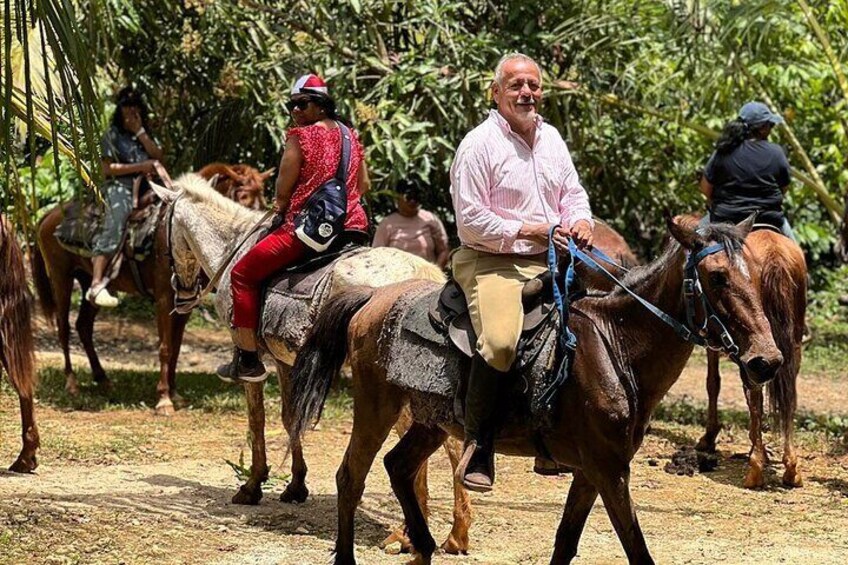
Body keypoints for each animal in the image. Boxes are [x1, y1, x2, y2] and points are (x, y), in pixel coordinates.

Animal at [31, 163, 270, 414]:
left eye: (263, 196)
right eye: (242, 196)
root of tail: (49, 216)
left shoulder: (184, 303)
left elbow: (176, 347)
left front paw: (174, 393)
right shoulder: (164, 298)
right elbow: (165, 347)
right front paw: (164, 398)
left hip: (86, 283)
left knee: (84, 326)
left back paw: (103, 378)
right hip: (61, 278)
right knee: (64, 328)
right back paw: (72, 383)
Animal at [290, 217, 780, 564]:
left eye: (755, 275)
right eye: (717, 277)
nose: (766, 360)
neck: (615, 345)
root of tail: (372, 298)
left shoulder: (592, 471)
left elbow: (565, 544)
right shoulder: (608, 470)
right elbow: (636, 549)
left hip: (431, 422)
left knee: (398, 466)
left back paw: (424, 548)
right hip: (376, 408)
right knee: (351, 477)